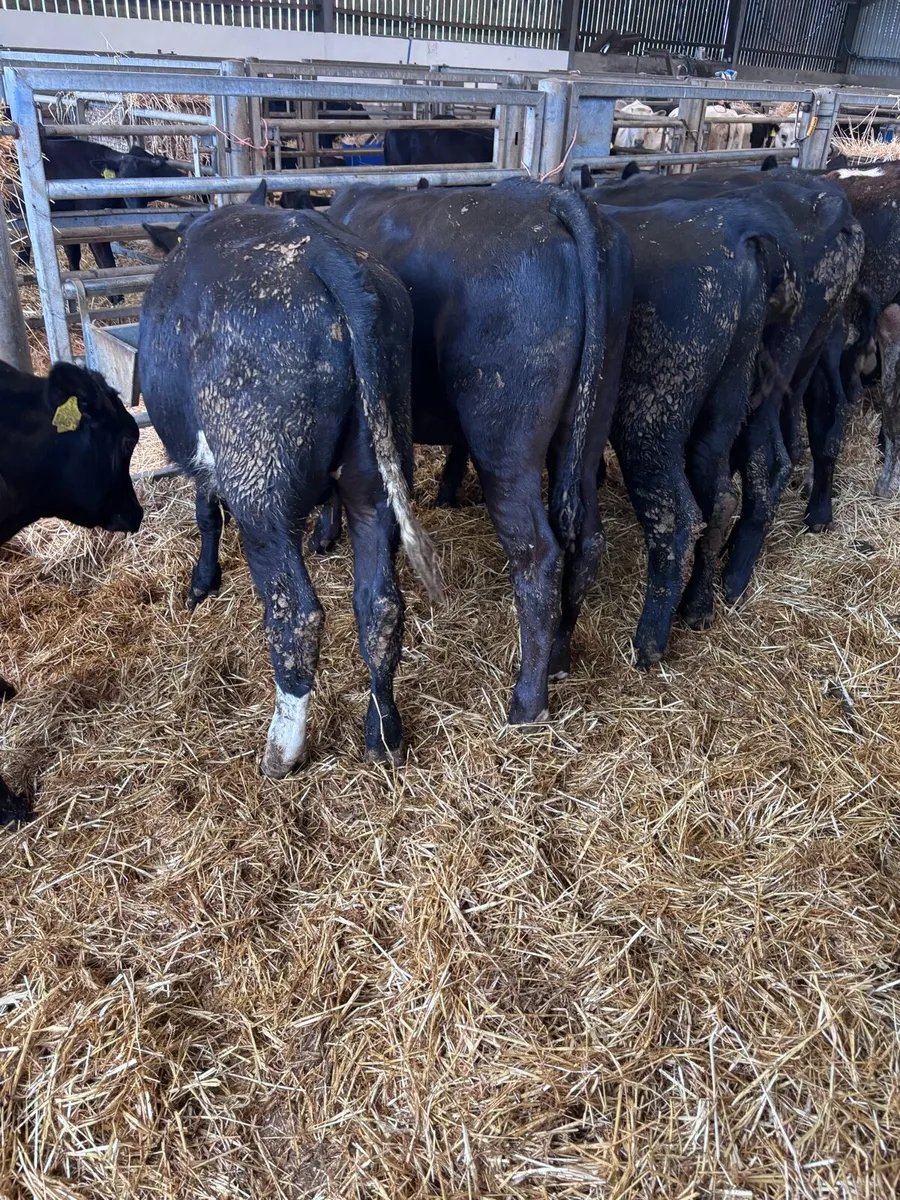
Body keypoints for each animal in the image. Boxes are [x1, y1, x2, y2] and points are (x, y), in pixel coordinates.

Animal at [139, 187, 442, 776]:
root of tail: (327, 255)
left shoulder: (202, 460)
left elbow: (206, 513)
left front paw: (201, 583)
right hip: (377, 472)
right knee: (380, 604)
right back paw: (384, 734)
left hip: (260, 486)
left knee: (297, 614)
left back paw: (281, 749)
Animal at [317, 180, 631, 720]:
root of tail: (549, 199)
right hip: (589, 427)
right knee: (587, 540)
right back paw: (560, 658)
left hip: (505, 445)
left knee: (538, 555)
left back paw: (527, 701)